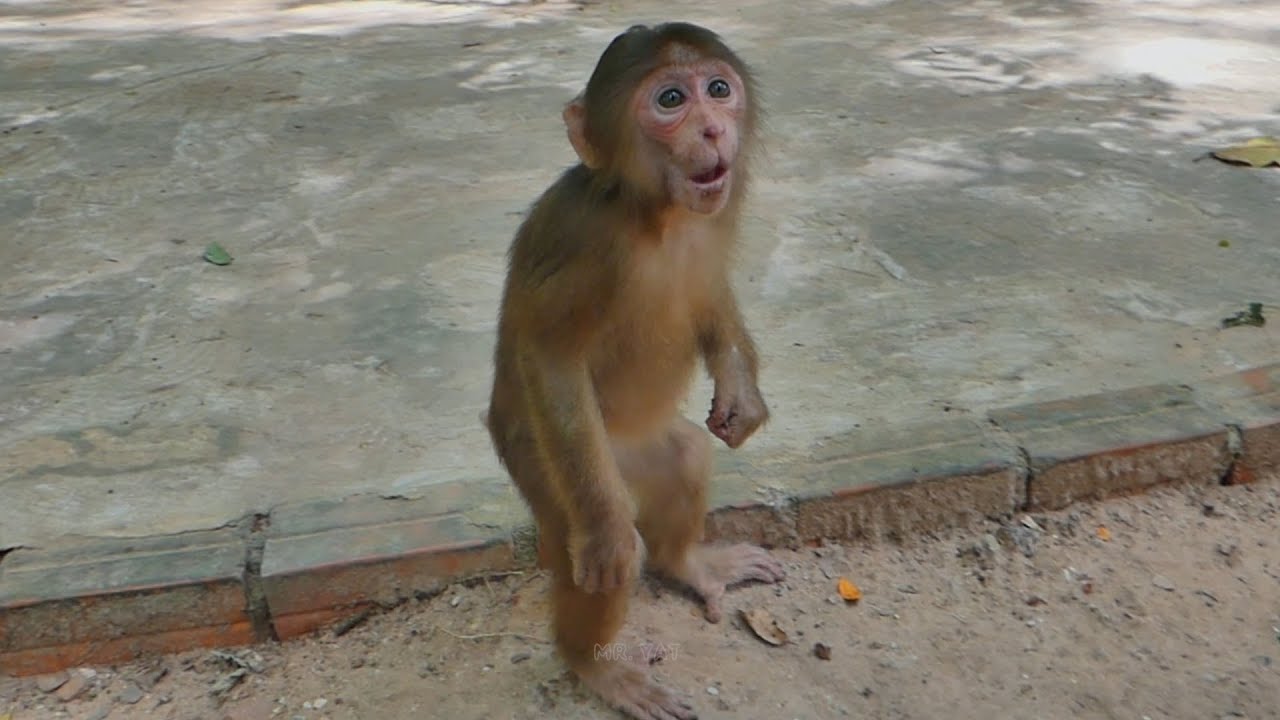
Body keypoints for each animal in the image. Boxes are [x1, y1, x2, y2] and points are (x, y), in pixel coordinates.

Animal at [485, 22, 784, 720]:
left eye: (719, 89)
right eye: (671, 100)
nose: (712, 129)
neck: (657, 215)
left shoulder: (710, 225)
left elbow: (710, 299)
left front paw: (742, 396)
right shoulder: (589, 242)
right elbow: (551, 357)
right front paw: (605, 541)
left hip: (645, 452)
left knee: (684, 459)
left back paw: (688, 564)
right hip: (556, 470)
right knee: (609, 543)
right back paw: (592, 663)